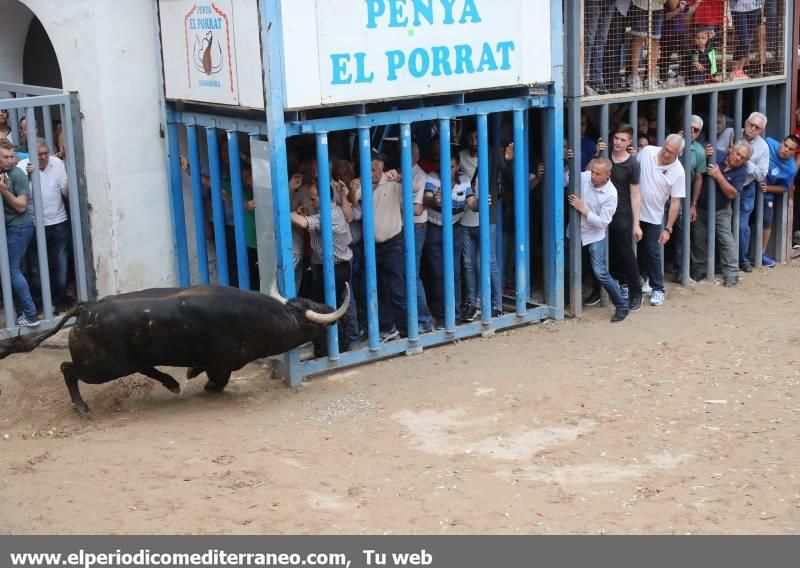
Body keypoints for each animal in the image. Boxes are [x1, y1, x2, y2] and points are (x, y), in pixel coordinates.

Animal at [0, 284, 350, 412]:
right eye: (313, 321)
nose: (329, 307)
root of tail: (85, 308)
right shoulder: (222, 363)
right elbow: (218, 379)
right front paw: (206, 387)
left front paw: (191, 376)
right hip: (99, 368)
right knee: (67, 369)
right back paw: (81, 406)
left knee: (143, 366)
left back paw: (172, 383)